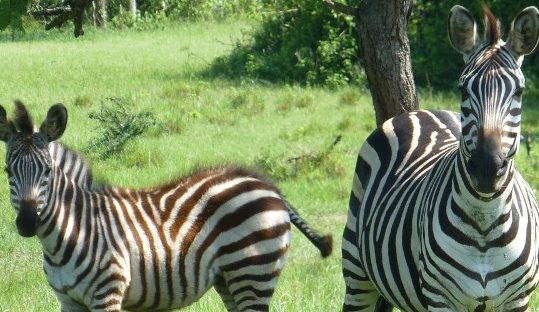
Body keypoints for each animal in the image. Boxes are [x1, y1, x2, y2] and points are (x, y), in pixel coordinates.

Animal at [0, 101, 334, 310]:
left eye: (48, 171)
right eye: (7, 172)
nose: (27, 223)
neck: (72, 230)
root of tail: (268, 185)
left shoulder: (108, 293)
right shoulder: (69, 301)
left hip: (253, 272)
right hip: (229, 279)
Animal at [342, 4, 539, 312]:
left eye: (519, 91)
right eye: (463, 89)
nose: (486, 168)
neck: (485, 223)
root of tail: (419, 112)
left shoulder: (518, 300)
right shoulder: (440, 298)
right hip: (357, 272)